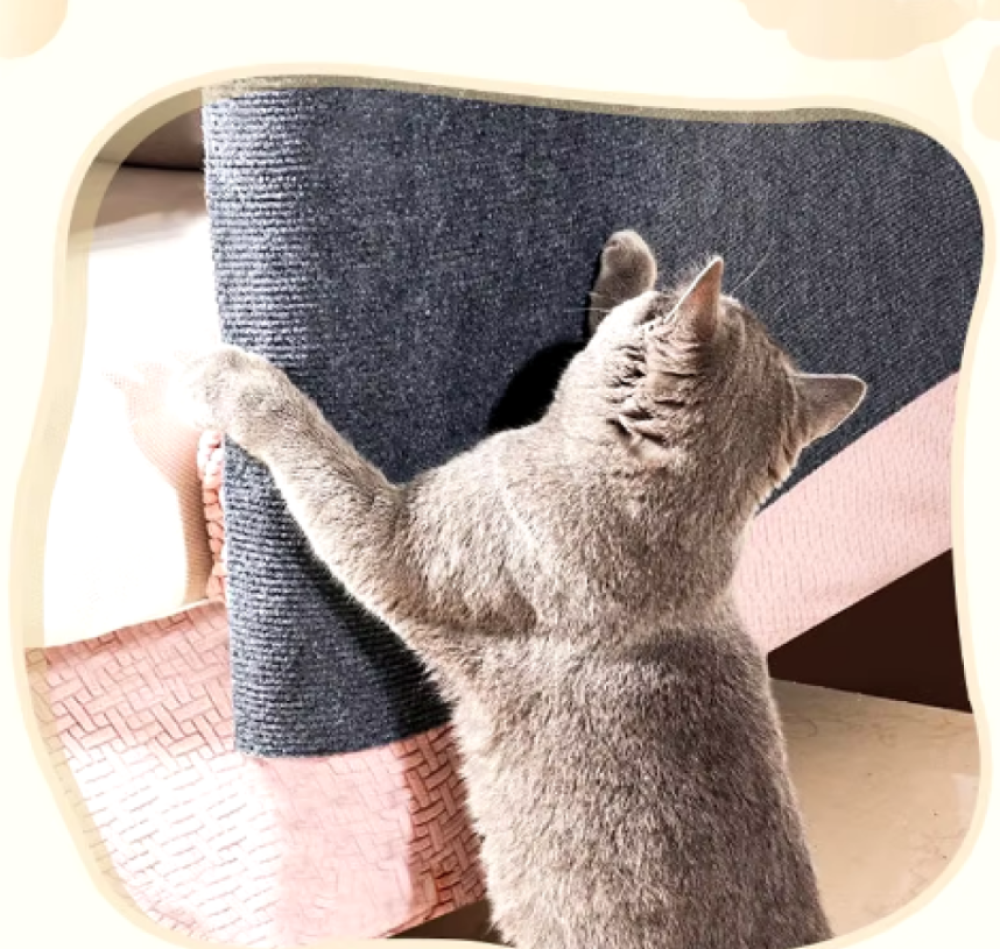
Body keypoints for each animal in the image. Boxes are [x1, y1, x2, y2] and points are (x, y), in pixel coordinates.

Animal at [175, 230, 866, 949]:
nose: (667, 278)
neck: (670, 535)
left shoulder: (398, 540)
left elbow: (319, 455)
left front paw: (231, 378)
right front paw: (629, 261)